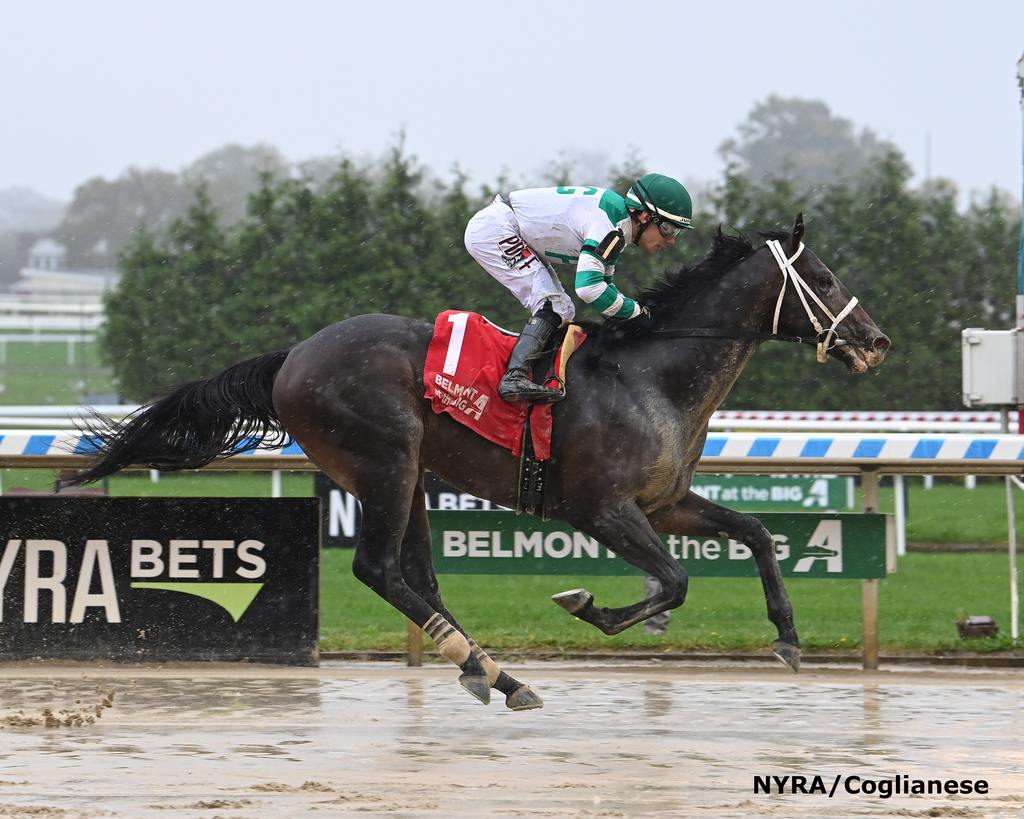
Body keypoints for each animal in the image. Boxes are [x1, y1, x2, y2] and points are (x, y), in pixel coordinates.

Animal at [68, 217, 888, 708]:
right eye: (823, 278)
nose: (876, 341)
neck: (652, 375)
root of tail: (293, 355)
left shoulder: (665, 502)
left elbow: (755, 532)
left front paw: (787, 637)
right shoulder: (602, 509)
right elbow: (675, 581)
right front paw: (586, 603)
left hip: (408, 475)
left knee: (415, 577)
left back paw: (486, 669)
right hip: (385, 463)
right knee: (379, 570)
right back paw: (495, 669)